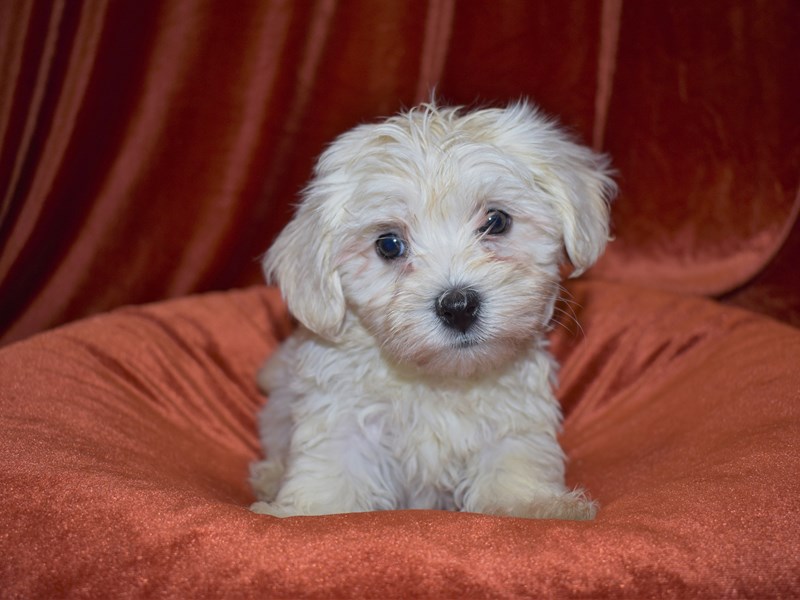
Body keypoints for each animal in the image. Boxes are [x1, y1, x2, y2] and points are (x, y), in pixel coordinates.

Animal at [248, 101, 612, 516]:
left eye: (496, 221)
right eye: (389, 245)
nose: (458, 306)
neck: (439, 379)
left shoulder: (513, 420)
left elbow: (513, 466)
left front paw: (534, 505)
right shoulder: (342, 415)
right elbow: (333, 471)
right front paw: (306, 510)